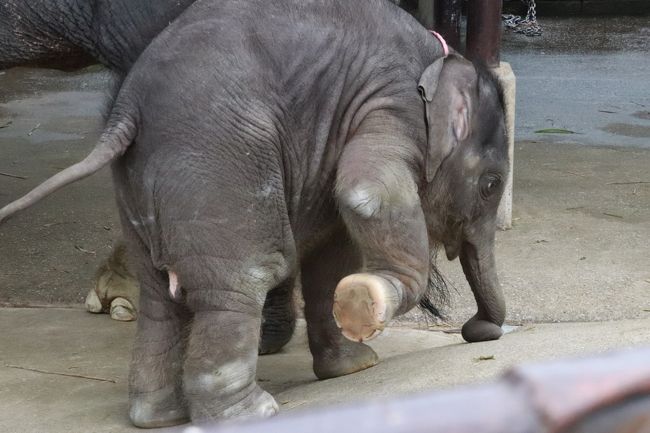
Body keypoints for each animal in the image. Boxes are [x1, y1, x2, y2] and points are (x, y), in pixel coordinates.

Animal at [0, 0, 506, 426]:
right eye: (492, 186)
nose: (478, 330)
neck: (440, 54)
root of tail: (127, 111)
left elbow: (331, 252)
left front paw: (354, 366)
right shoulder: (392, 101)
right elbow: (365, 192)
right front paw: (365, 301)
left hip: (138, 191)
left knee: (162, 300)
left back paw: (157, 417)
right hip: (218, 170)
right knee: (242, 280)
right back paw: (251, 413)